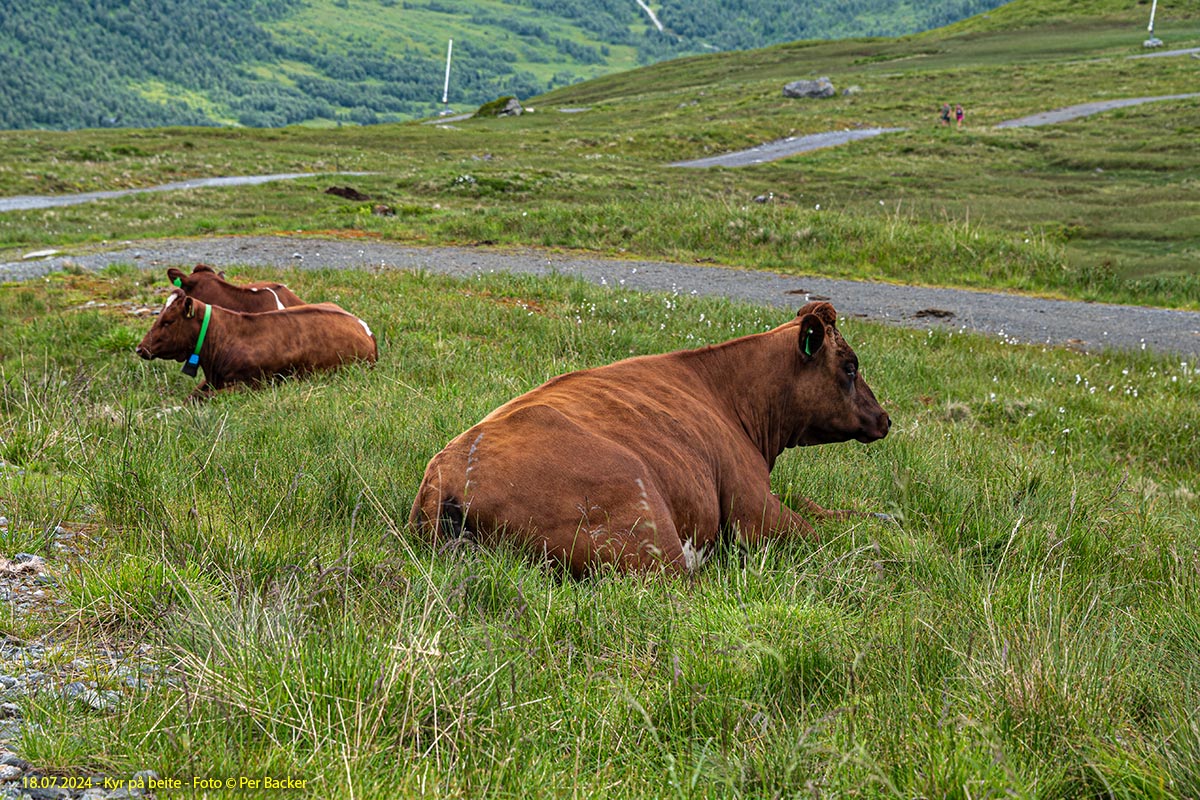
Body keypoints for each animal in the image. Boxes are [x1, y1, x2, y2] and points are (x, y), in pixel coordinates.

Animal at [132, 287, 376, 400]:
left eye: (168, 321)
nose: (140, 348)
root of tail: (364, 327)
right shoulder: (212, 380)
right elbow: (191, 397)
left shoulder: (250, 386)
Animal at [412, 299, 892, 575]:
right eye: (850, 366)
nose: (885, 418)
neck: (732, 395)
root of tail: (447, 474)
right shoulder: (754, 508)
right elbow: (820, 533)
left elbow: (818, 507)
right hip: (650, 529)